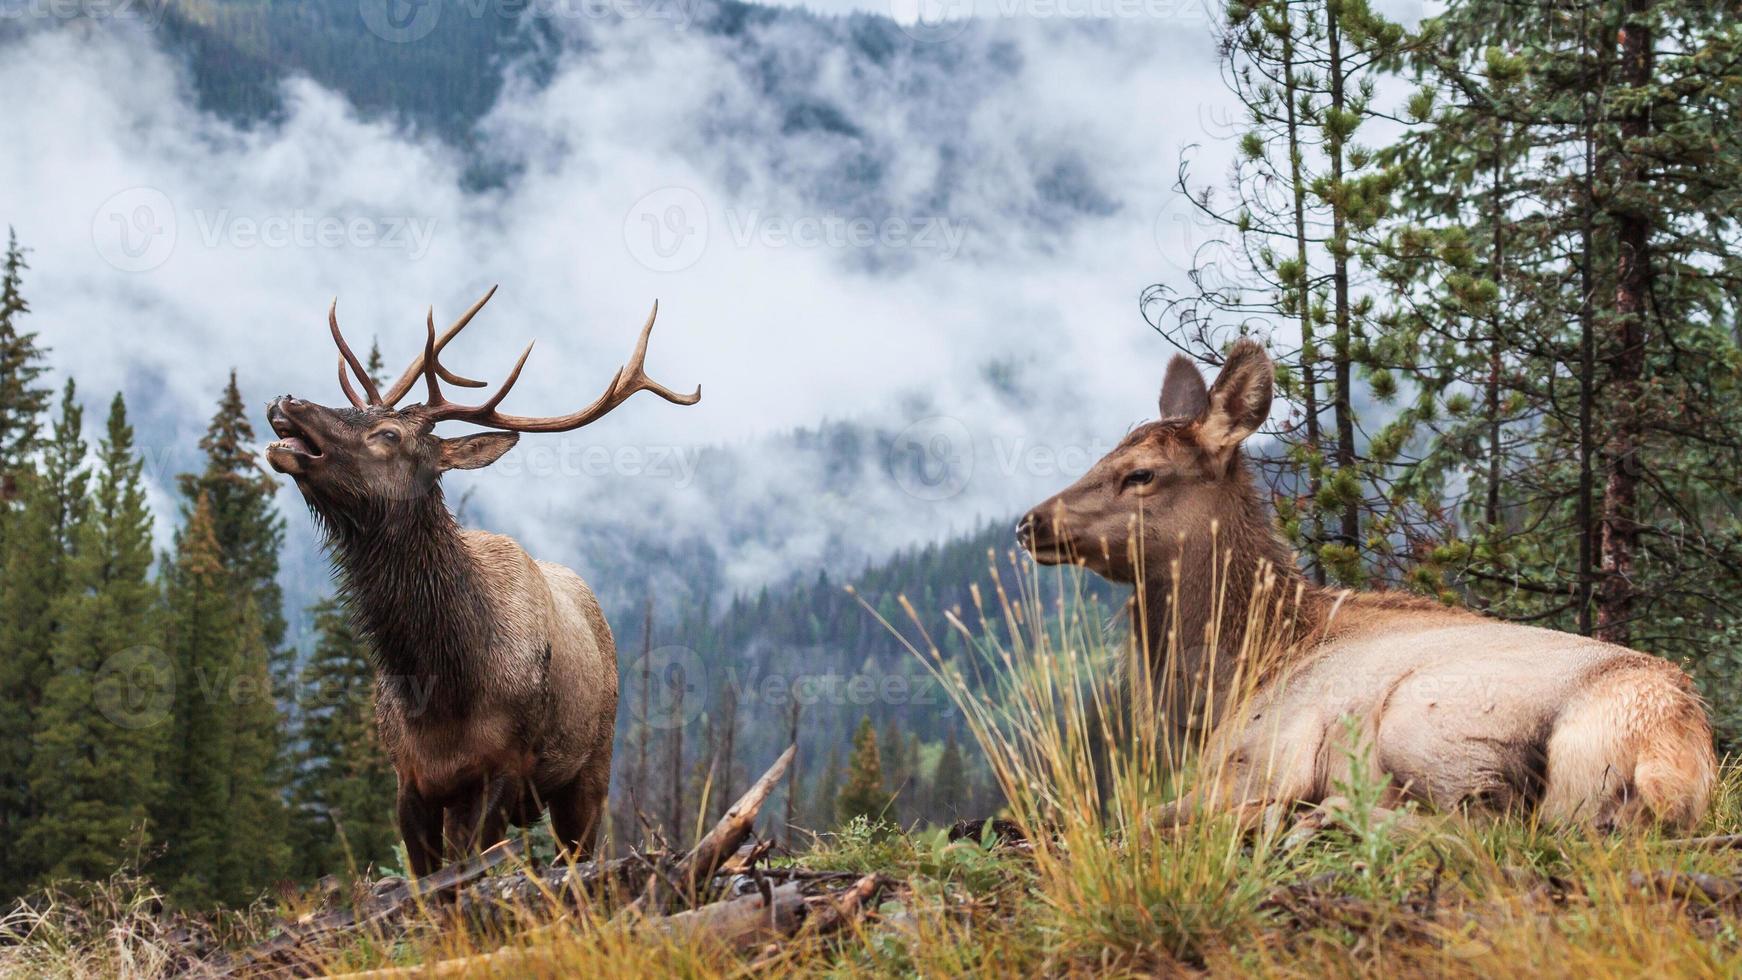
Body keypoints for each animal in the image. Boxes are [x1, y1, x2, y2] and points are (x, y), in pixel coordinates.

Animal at [264, 287, 700, 877]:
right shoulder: (410, 778)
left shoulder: (504, 768)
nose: (288, 401)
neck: (442, 683)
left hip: (592, 766)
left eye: (388, 434)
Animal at [1017, 341, 1714, 832]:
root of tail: (1669, 745)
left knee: (1486, 822)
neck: (1236, 673)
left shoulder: (1266, 755)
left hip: (1424, 723)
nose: (1030, 522)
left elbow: (1142, 817)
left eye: (1140, 473)